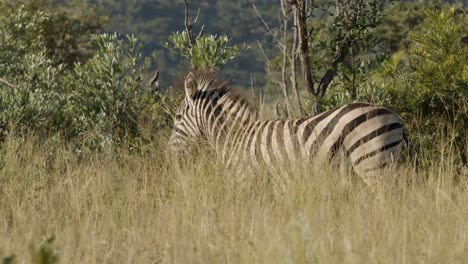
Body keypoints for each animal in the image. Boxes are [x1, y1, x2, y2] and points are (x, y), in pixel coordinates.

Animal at [169, 70, 410, 186]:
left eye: (178, 117)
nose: (169, 153)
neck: (233, 136)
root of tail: (395, 117)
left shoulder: (245, 177)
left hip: (371, 162)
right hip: (386, 162)